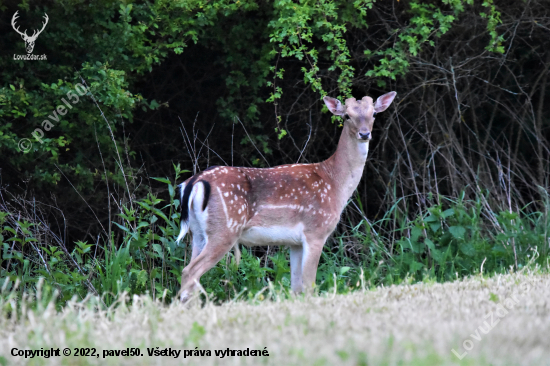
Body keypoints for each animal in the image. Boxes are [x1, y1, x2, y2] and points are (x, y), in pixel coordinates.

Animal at [177, 91, 396, 304]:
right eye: (347, 116)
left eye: (374, 114)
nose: (364, 133)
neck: (334, 183)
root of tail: (193, 183)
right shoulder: (316, 231)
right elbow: (309, 286)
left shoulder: (295, 242)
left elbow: (296, 288)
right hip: (225, 228)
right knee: (190, 272)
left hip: (198, 232)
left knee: (190, 275)